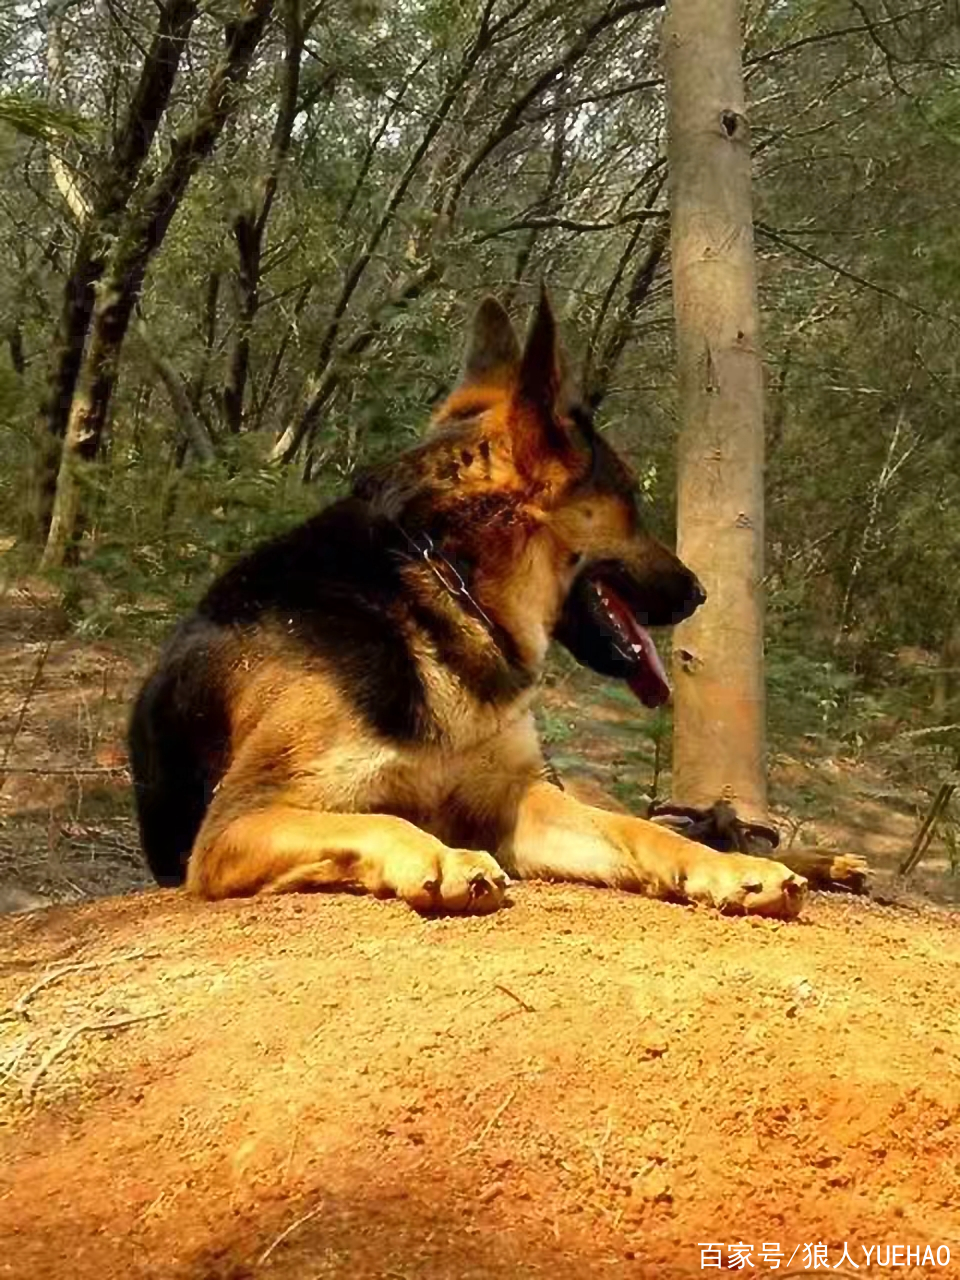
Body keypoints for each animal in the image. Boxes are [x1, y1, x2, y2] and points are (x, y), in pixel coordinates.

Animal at [128, 293, 803, 911]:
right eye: (633, 499)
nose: (699, 592)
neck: (446, 593)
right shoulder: (237, 823)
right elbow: (382, 819)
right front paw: (438, 856)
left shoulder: (518, 797)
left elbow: (637, 831)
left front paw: (728, 869)